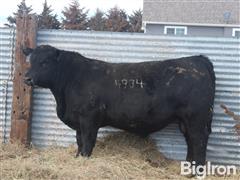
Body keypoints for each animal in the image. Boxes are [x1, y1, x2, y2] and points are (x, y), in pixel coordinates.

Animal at [23, 45, 216, 167]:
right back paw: (188, 167)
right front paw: (76, 158)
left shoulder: (88, 119)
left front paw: (85, 160)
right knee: (190, 141)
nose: (27, 78)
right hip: (185, 121)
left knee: (199, 141)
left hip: (197, 119)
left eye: (45, 62)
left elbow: (87, 142)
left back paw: (197, 170)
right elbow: (79, 142)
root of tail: (197, 60)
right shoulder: (78, 121)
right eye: (30, 61)